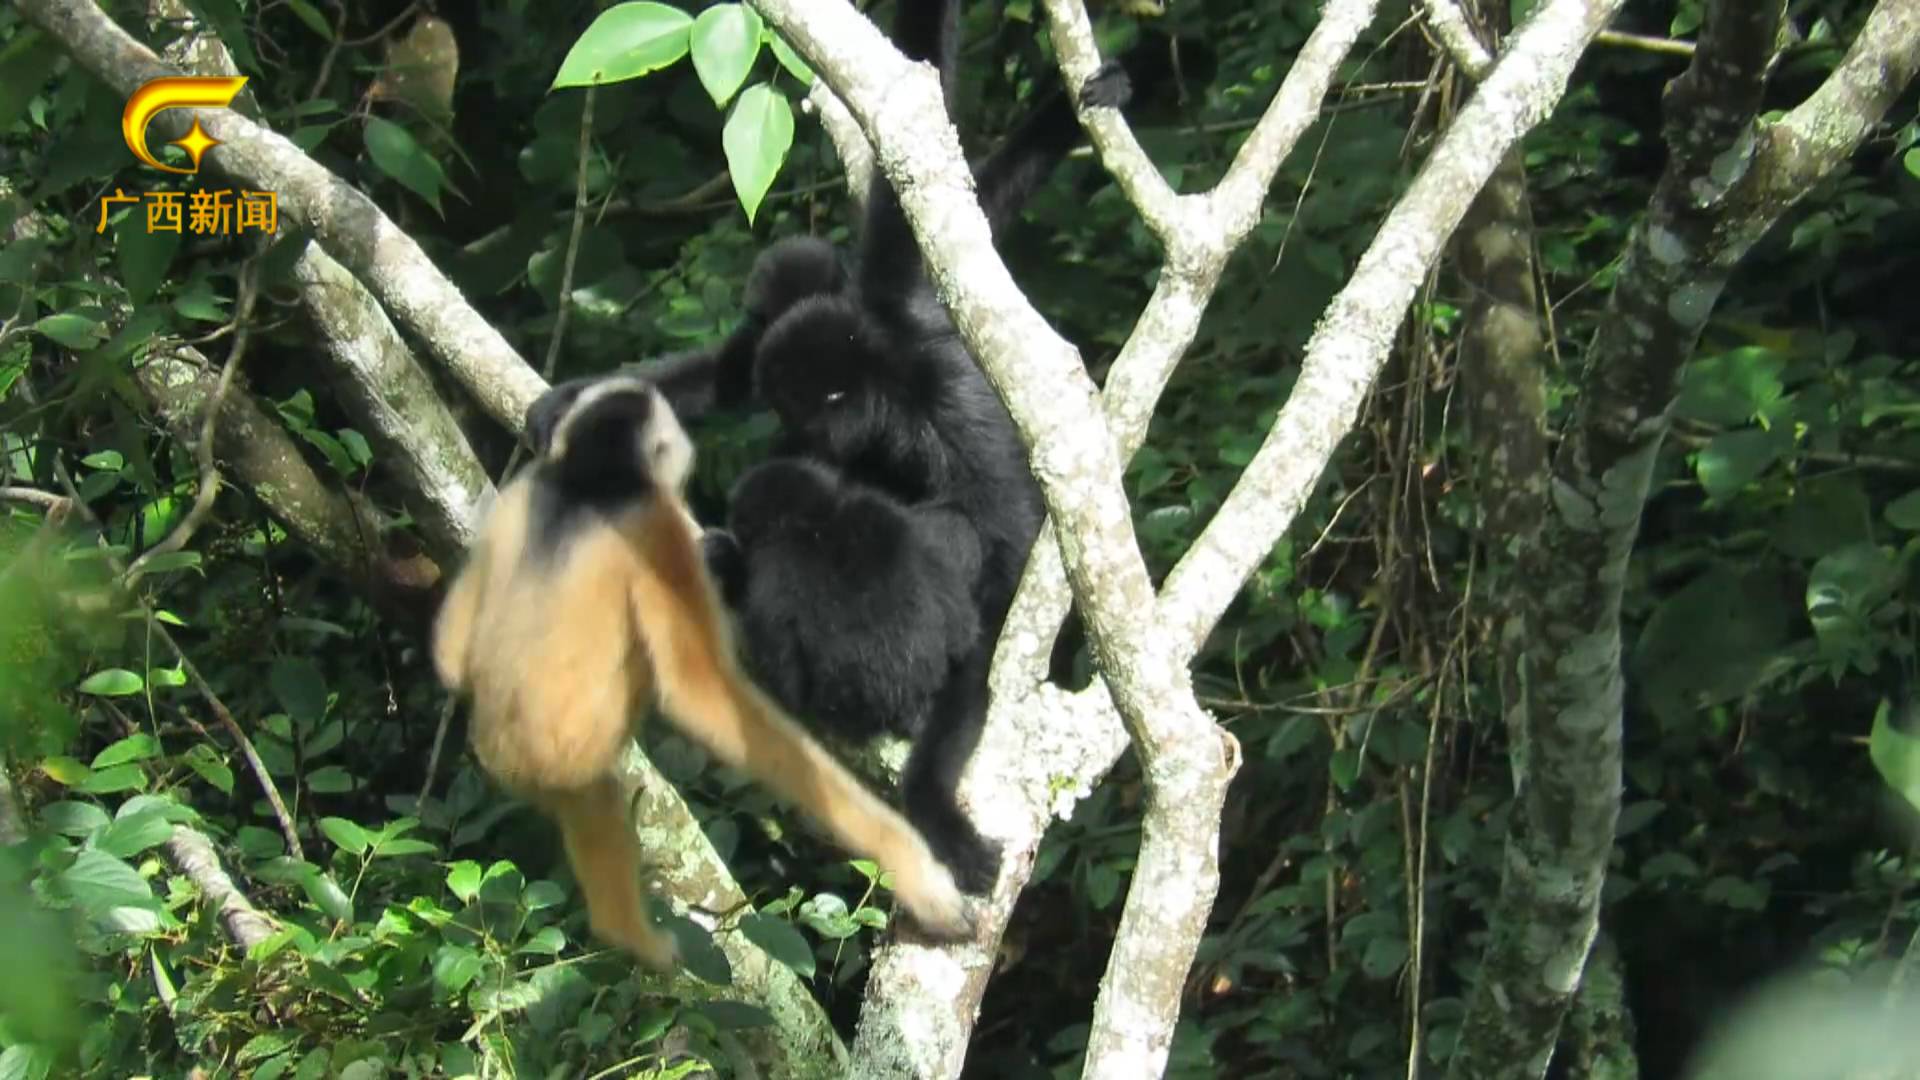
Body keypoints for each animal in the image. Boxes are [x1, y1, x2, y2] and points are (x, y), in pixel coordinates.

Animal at [430, 375, 972, 970]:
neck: (587, 480)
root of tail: (504, 756)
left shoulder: (522, 495)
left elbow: (450, 649)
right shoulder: (656, 524)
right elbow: (700, 690)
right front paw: (909, 861)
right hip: (570, 762)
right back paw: (634, 936)